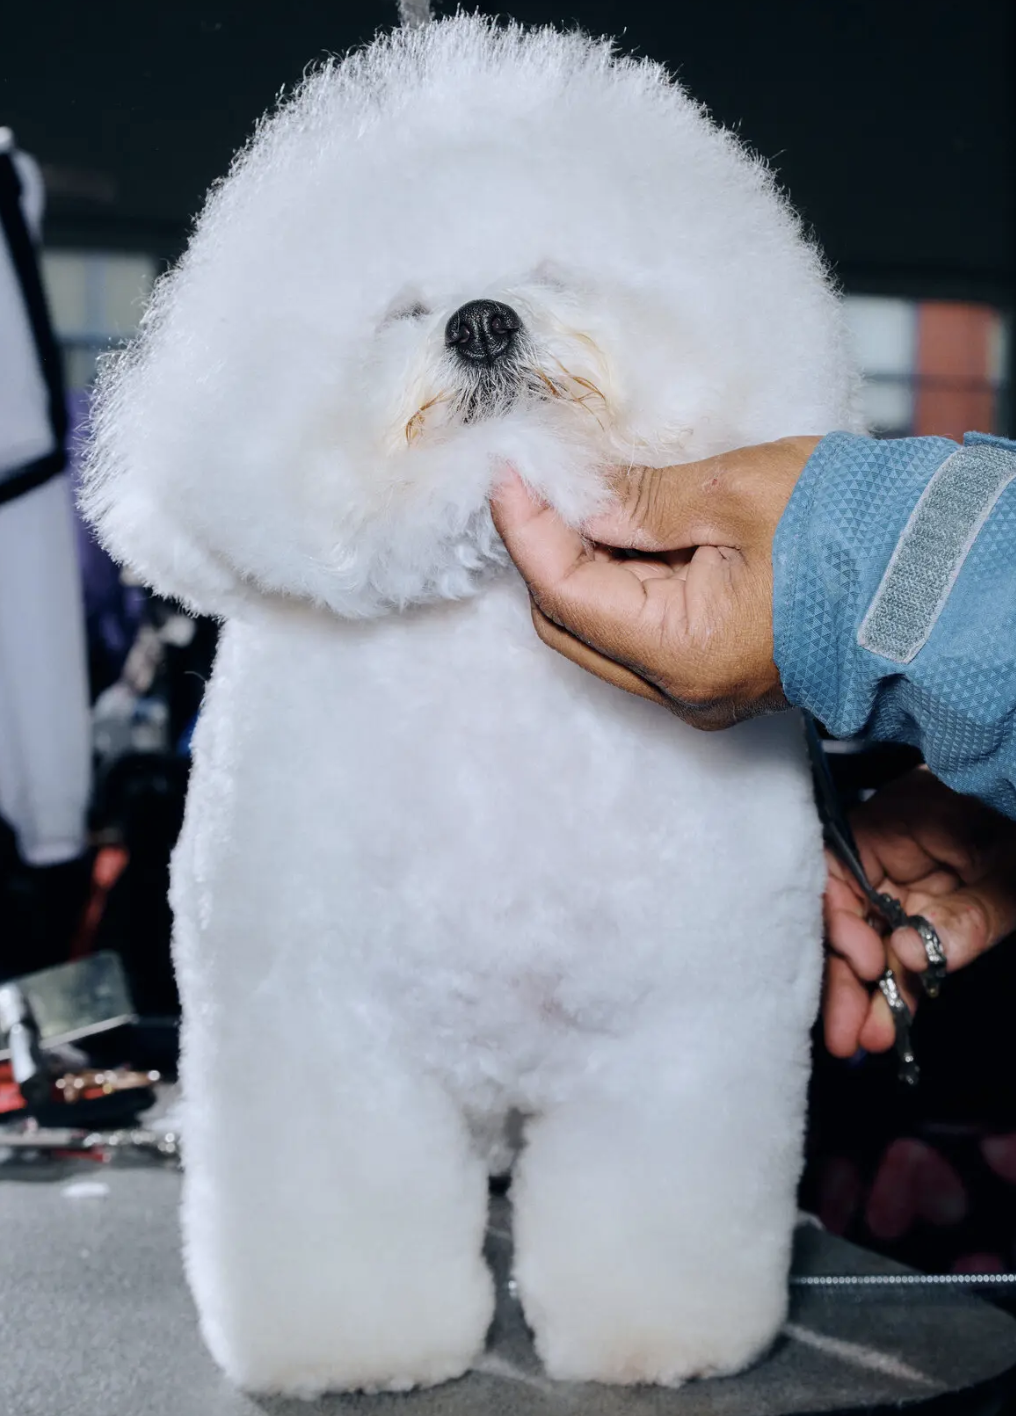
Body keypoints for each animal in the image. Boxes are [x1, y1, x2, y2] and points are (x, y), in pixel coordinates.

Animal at [83, 11, 860, 1399]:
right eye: (402, 303)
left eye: (551, 270)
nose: (483, 321)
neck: (495, 655)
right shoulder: (321, 1038)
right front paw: (359, 1347)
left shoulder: (677, 1039)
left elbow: (655, 1207)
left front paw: (653, 1339)